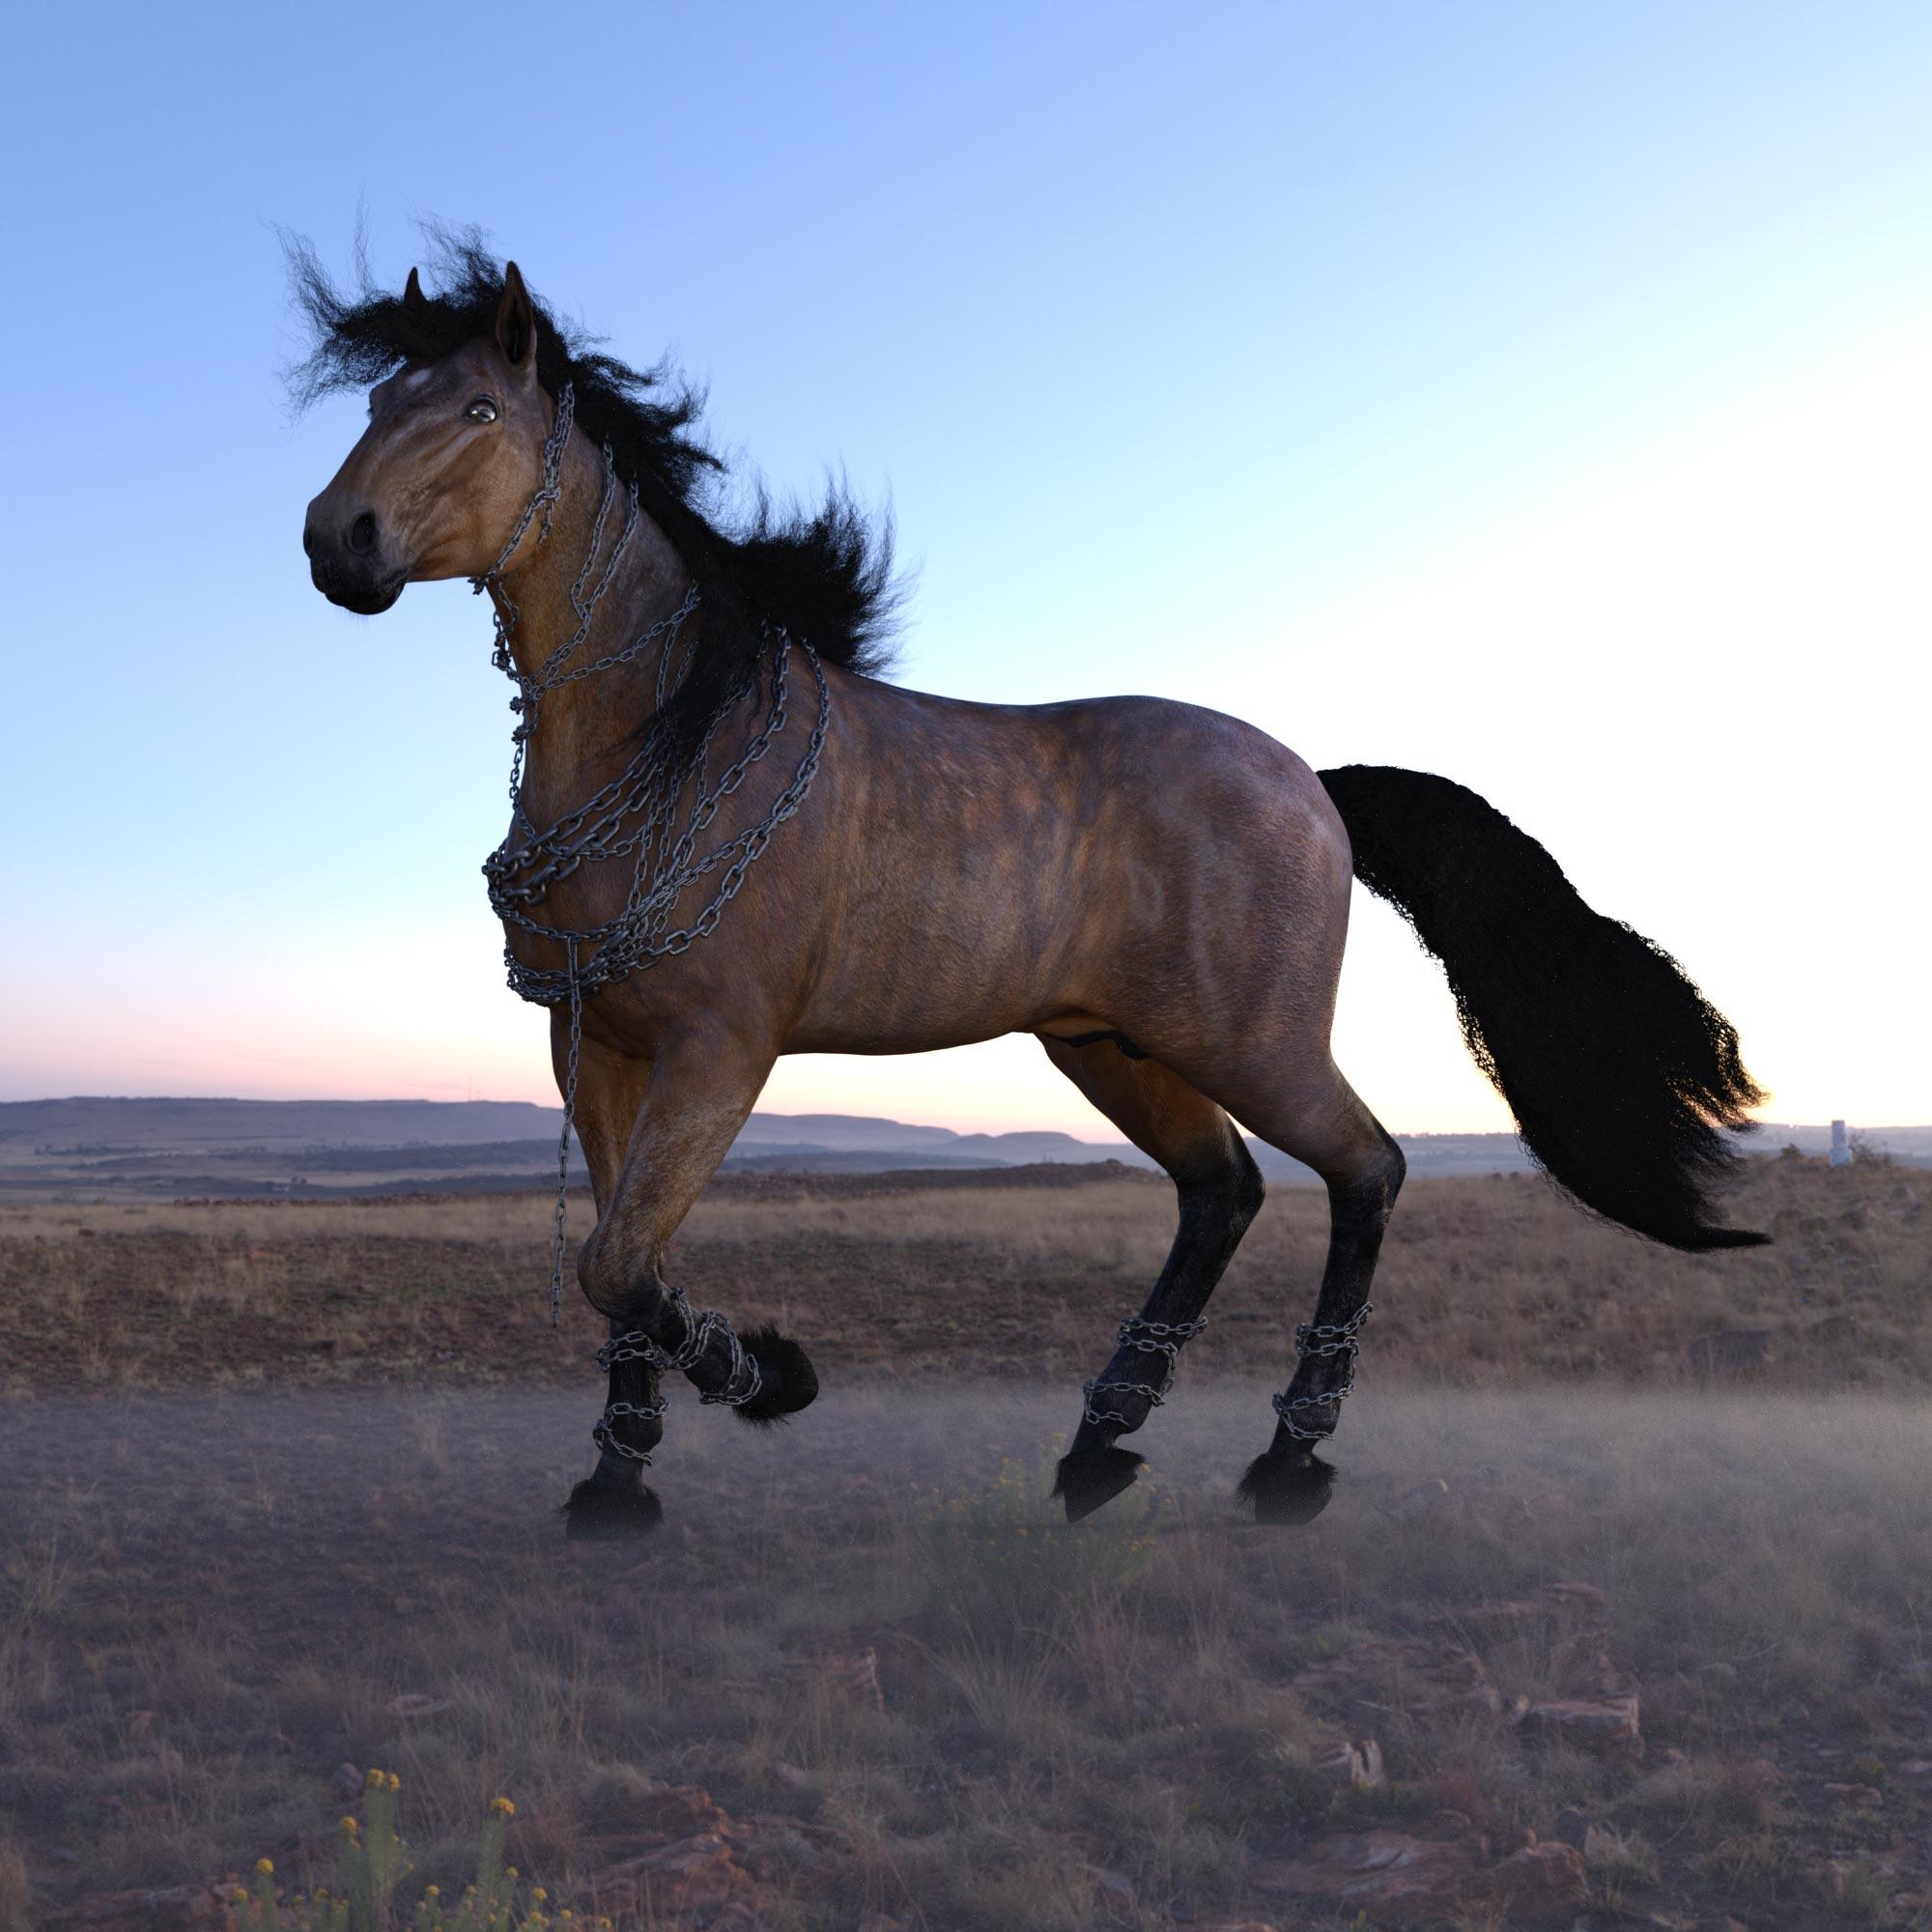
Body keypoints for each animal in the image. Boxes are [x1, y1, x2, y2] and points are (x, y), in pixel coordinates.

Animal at [292, 233, 1766, 1539]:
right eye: (374, 402)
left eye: (478, 407)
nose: (334, 541)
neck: (669, 736)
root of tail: (1317, 786)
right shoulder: (593, 1049)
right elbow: (615, 1260)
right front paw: (618, 1477)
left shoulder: (722, 1049)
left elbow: (616, 1261)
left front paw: (774, 1378)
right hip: (1108, 1045)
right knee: (1221, 1190)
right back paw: (1100, 1444)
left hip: (1253, 1043)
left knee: (1368, 1171)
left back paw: (1287, 1463)